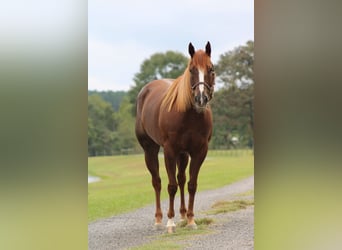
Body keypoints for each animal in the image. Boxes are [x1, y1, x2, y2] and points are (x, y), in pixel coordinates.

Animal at [135, 41, 215, 232]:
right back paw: (158, 219)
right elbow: (171, 186)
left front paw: (191, 219)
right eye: (192, 70)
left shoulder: (199, 151)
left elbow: (191, 184)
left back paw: (183, 215)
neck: (189, 115)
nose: (201, 99)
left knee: (181, 179)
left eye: (211, 68)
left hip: (183, 154)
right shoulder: (169, 151)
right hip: (150, 150)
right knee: (157, 181)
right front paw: (170, 222)